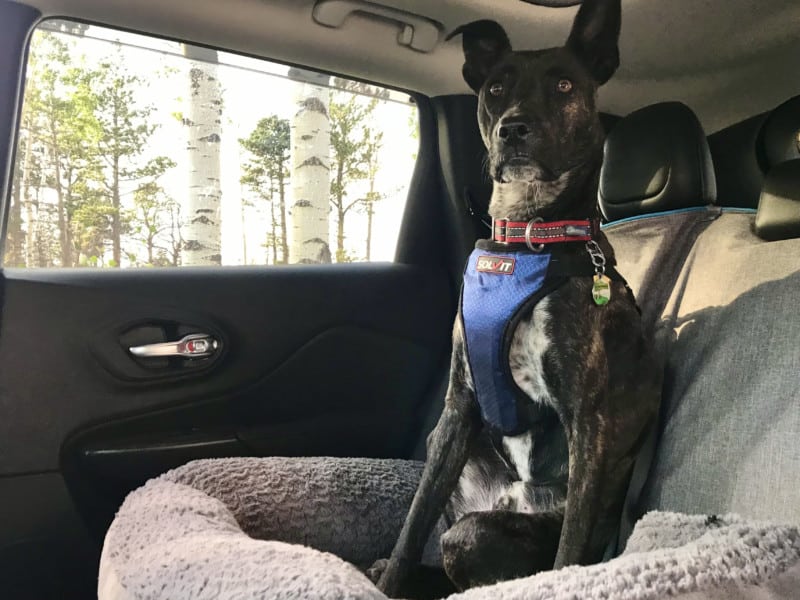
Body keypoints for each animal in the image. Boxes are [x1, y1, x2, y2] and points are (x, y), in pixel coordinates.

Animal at [368, 0, 656, 592]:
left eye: (565, 84)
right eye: (496, 88)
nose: (514, 128)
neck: (525, 238)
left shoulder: (587, 420)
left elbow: (570, 546)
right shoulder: (457, 407)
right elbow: (412, 525)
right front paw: (387, 583)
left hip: (486, 528)